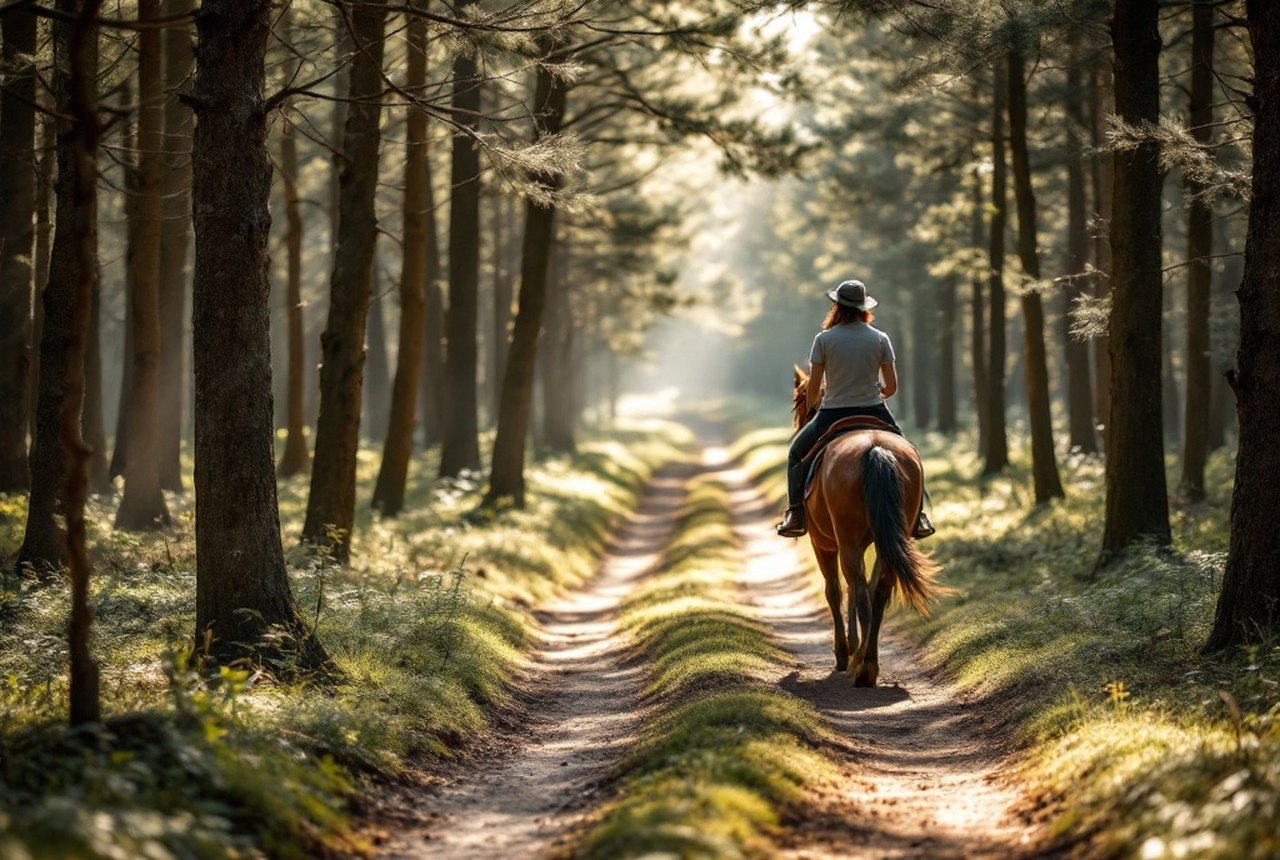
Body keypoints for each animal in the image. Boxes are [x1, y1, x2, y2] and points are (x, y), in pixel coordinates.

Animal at [791, 367, 945, 687]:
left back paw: (860, 666)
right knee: (878, 592)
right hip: (889, 541)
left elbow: (835, 591)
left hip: (844, 542)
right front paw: (853, 647)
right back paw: (869, 661)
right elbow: (859, 590)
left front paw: (842, 652)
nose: (799, 422)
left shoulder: (823, 543)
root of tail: (875, 448)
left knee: (860, 592)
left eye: (798, 401)